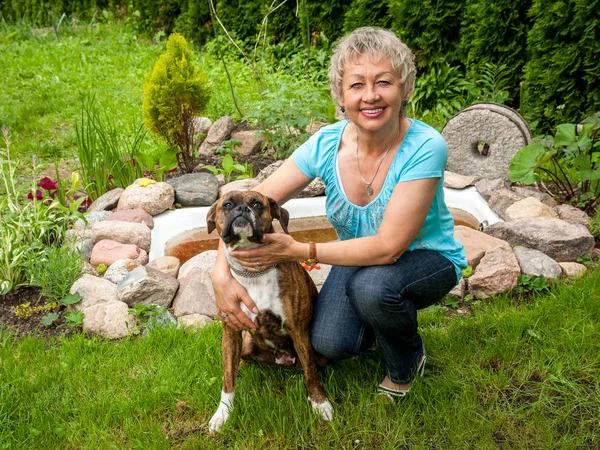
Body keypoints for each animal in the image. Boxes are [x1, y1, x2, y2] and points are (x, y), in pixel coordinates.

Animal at [206, 189, 332, 432]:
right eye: (227, 205)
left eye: (257, 204)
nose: (242, 209)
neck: (253, 273)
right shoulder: (231, 331)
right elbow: (227, 379)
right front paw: (222, 414)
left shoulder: (298, 331)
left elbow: (311, 374)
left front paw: (320, 403)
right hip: (246, 343)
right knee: (240, 361)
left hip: (316, 352)